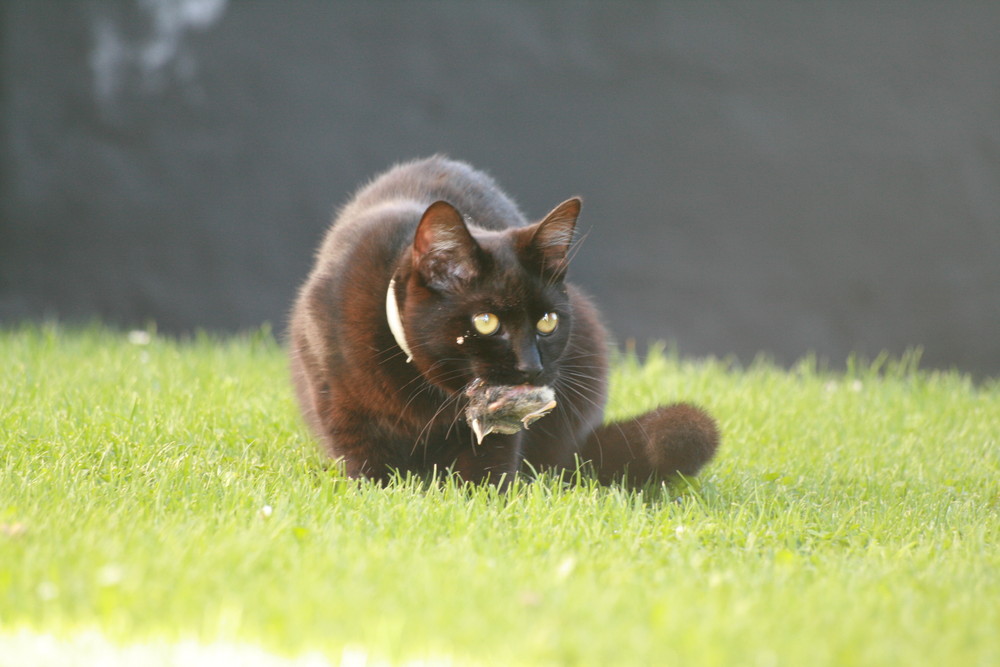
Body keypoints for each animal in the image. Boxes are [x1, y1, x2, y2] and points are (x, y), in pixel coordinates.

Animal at [290, 157, 720, 486]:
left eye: (547, 322)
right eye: (485, 321)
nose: (531, 365)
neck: (429, 392)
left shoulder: (499, 429)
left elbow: (490, 461)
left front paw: (483, 501)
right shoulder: (337, 397)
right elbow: (362, 456)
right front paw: (377, 491)